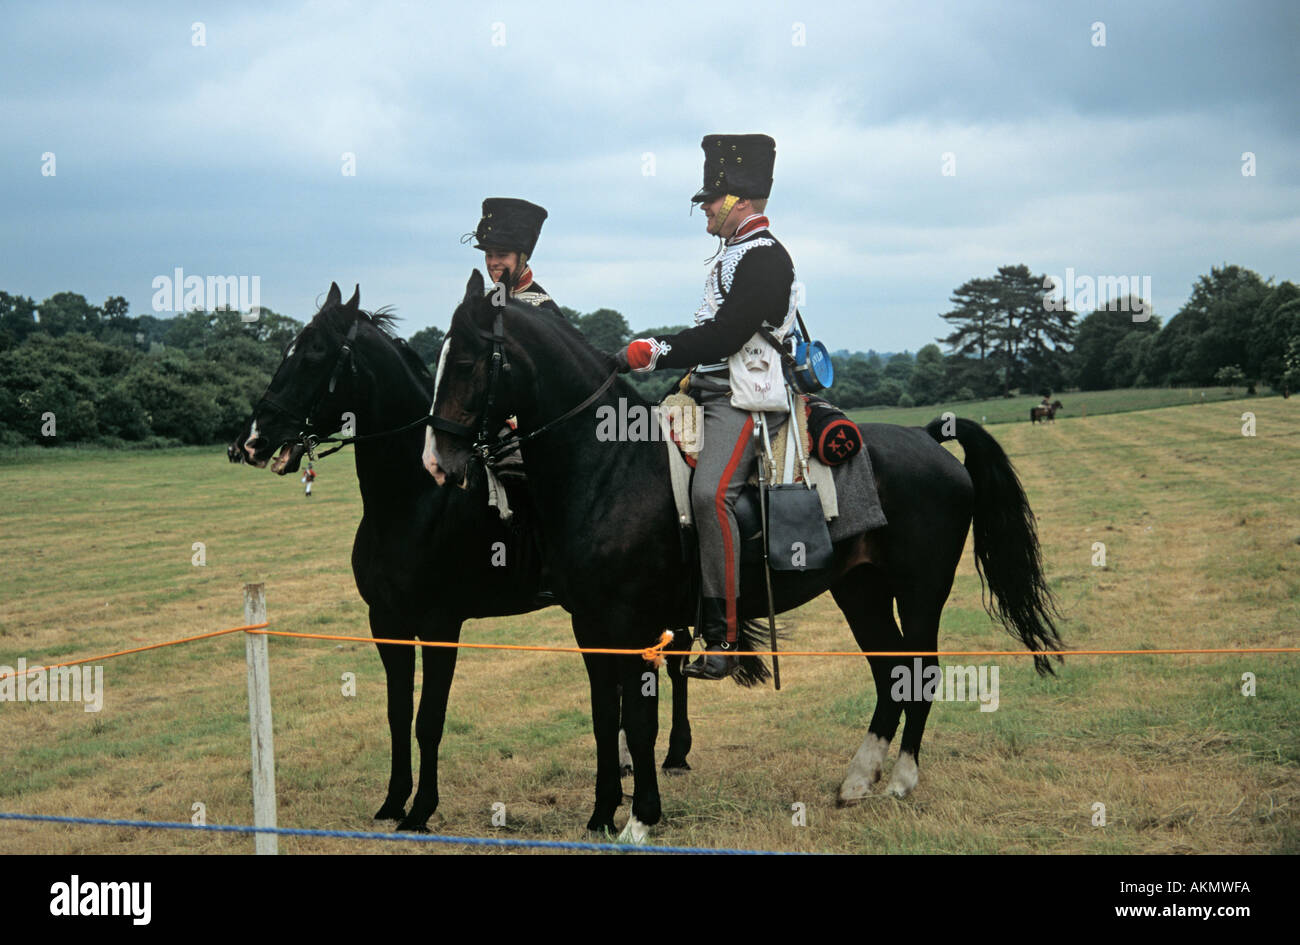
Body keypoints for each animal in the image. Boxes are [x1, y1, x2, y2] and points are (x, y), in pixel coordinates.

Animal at [233, 284, 702, 831]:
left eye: (314, 353)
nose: (252, 441)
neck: (413, 498)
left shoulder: (441, 624)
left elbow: (428, 719)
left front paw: (420, 810)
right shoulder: (386, 622)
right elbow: (397, 714)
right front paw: (393, 801)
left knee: (674, 661)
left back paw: (675, 753)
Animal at [431, 271, 1060, 842]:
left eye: (464, 362)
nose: (439, 461)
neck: (609, 468)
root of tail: (929, 439)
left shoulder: (634, 627)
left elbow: (638, 722)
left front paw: (640, 819)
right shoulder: (591, 629)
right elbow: (603, 719)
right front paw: (600, 817)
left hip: (921, 590)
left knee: (920, 673)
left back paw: (901, 782)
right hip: (861, 590)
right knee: (890, 674)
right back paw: (857, 781)